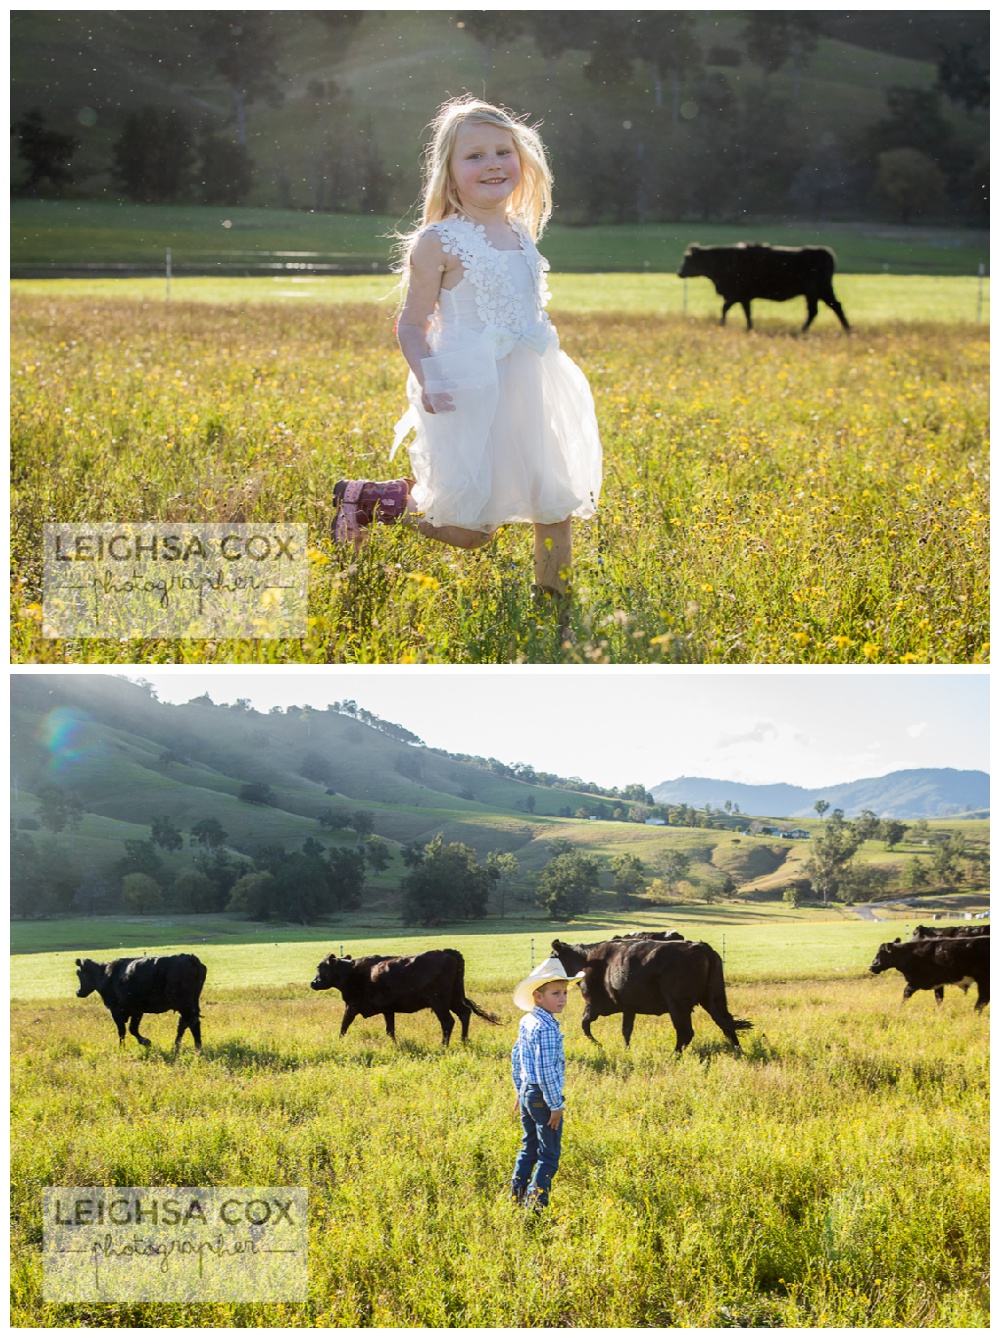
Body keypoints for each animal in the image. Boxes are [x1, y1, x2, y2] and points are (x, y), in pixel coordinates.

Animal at [75, 958, 208, 1048]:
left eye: (79, 973)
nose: (78, 992)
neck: (105, 974)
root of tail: (189, 957)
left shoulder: (116, 1009)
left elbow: (124, 1030)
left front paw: (124, 1047)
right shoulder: (137, 1010)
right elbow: (131, 1028)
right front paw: (145, 1042)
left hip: (184, 1004)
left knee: (192, 1023)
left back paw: (197, 1049)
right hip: (187, 1005)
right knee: (183, 1024)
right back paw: (177, 1048)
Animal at [309, 952, 500, 1043]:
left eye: (320, 967)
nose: (313, 982)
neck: (352, 971)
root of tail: (447, 952)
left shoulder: (352, 1005)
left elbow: (344, 1025)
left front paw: (339, 1042)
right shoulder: (387, 1010)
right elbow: (390, 1030)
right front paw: (394, 1045)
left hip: (439, 1002)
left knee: (448, 1022)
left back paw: (443, 1045)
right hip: (454, 998)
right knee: (464, 1013)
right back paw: (464, 1041)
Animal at [554, 936, 749, 1048]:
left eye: (552, 956)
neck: (586, 960)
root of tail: (700, 946)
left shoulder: (593, 1004)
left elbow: (584, 1024)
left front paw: (599, 1045)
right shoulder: (628, 1007)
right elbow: (626, 1030)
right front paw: (626, 1049)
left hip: (678, 1004)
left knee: (685, 1033)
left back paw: (673, 1058)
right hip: (715, 997)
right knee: (726, 1024)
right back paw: (738, 1052)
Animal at [677, 242, 851, 333]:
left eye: (688, 259)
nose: (679, 272)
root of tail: (823, 251)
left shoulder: (738, 295)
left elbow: (729, 309)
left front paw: (724, 324)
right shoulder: (741, 297)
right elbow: (742, 311)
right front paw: (746, 327)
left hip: (818, 291)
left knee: (829, 307)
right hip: (814, 293)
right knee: (822, 309)